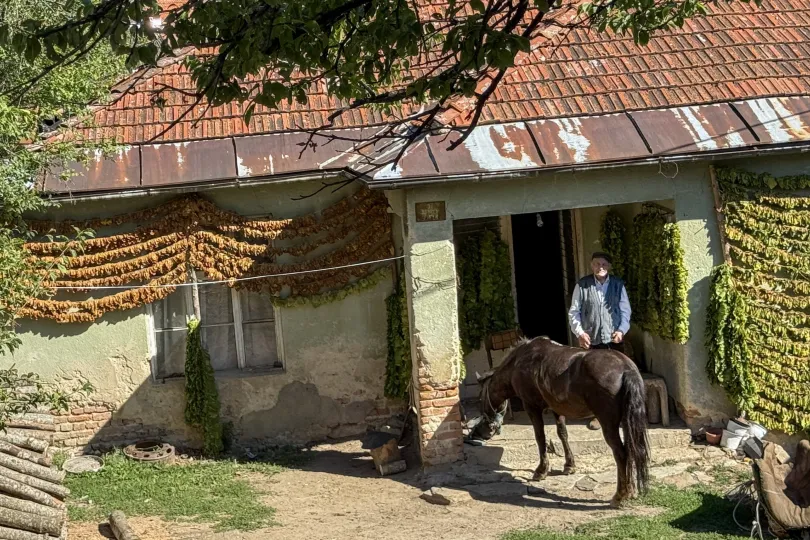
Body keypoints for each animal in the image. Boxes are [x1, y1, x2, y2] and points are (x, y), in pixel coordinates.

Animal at [471, 336, 650, 507]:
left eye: (480, 398)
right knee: (631, 449)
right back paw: (630, 491)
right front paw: (569, 465)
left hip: (609, 424)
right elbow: (562, 433)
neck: (519, 362)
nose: (481, 431)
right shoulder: (556, 408)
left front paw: (541, 470)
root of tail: (625, 368)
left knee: (621, 453)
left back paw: (620, 496)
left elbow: (540, 437)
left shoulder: (531, 406)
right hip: (627, 422)